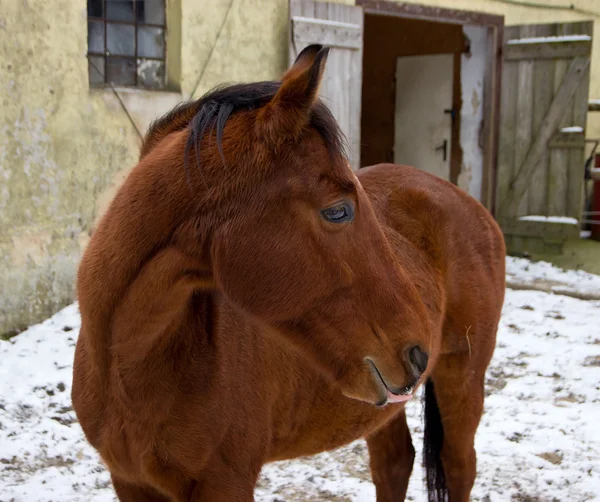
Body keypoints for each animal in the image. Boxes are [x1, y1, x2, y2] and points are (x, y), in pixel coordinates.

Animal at [74, 45, 506, 500]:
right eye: (338, 211)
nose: (419, 352)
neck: (128, 369)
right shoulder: (130, 481)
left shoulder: (225, 481)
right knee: (393, 462)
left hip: (462, 375)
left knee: (458, 465)